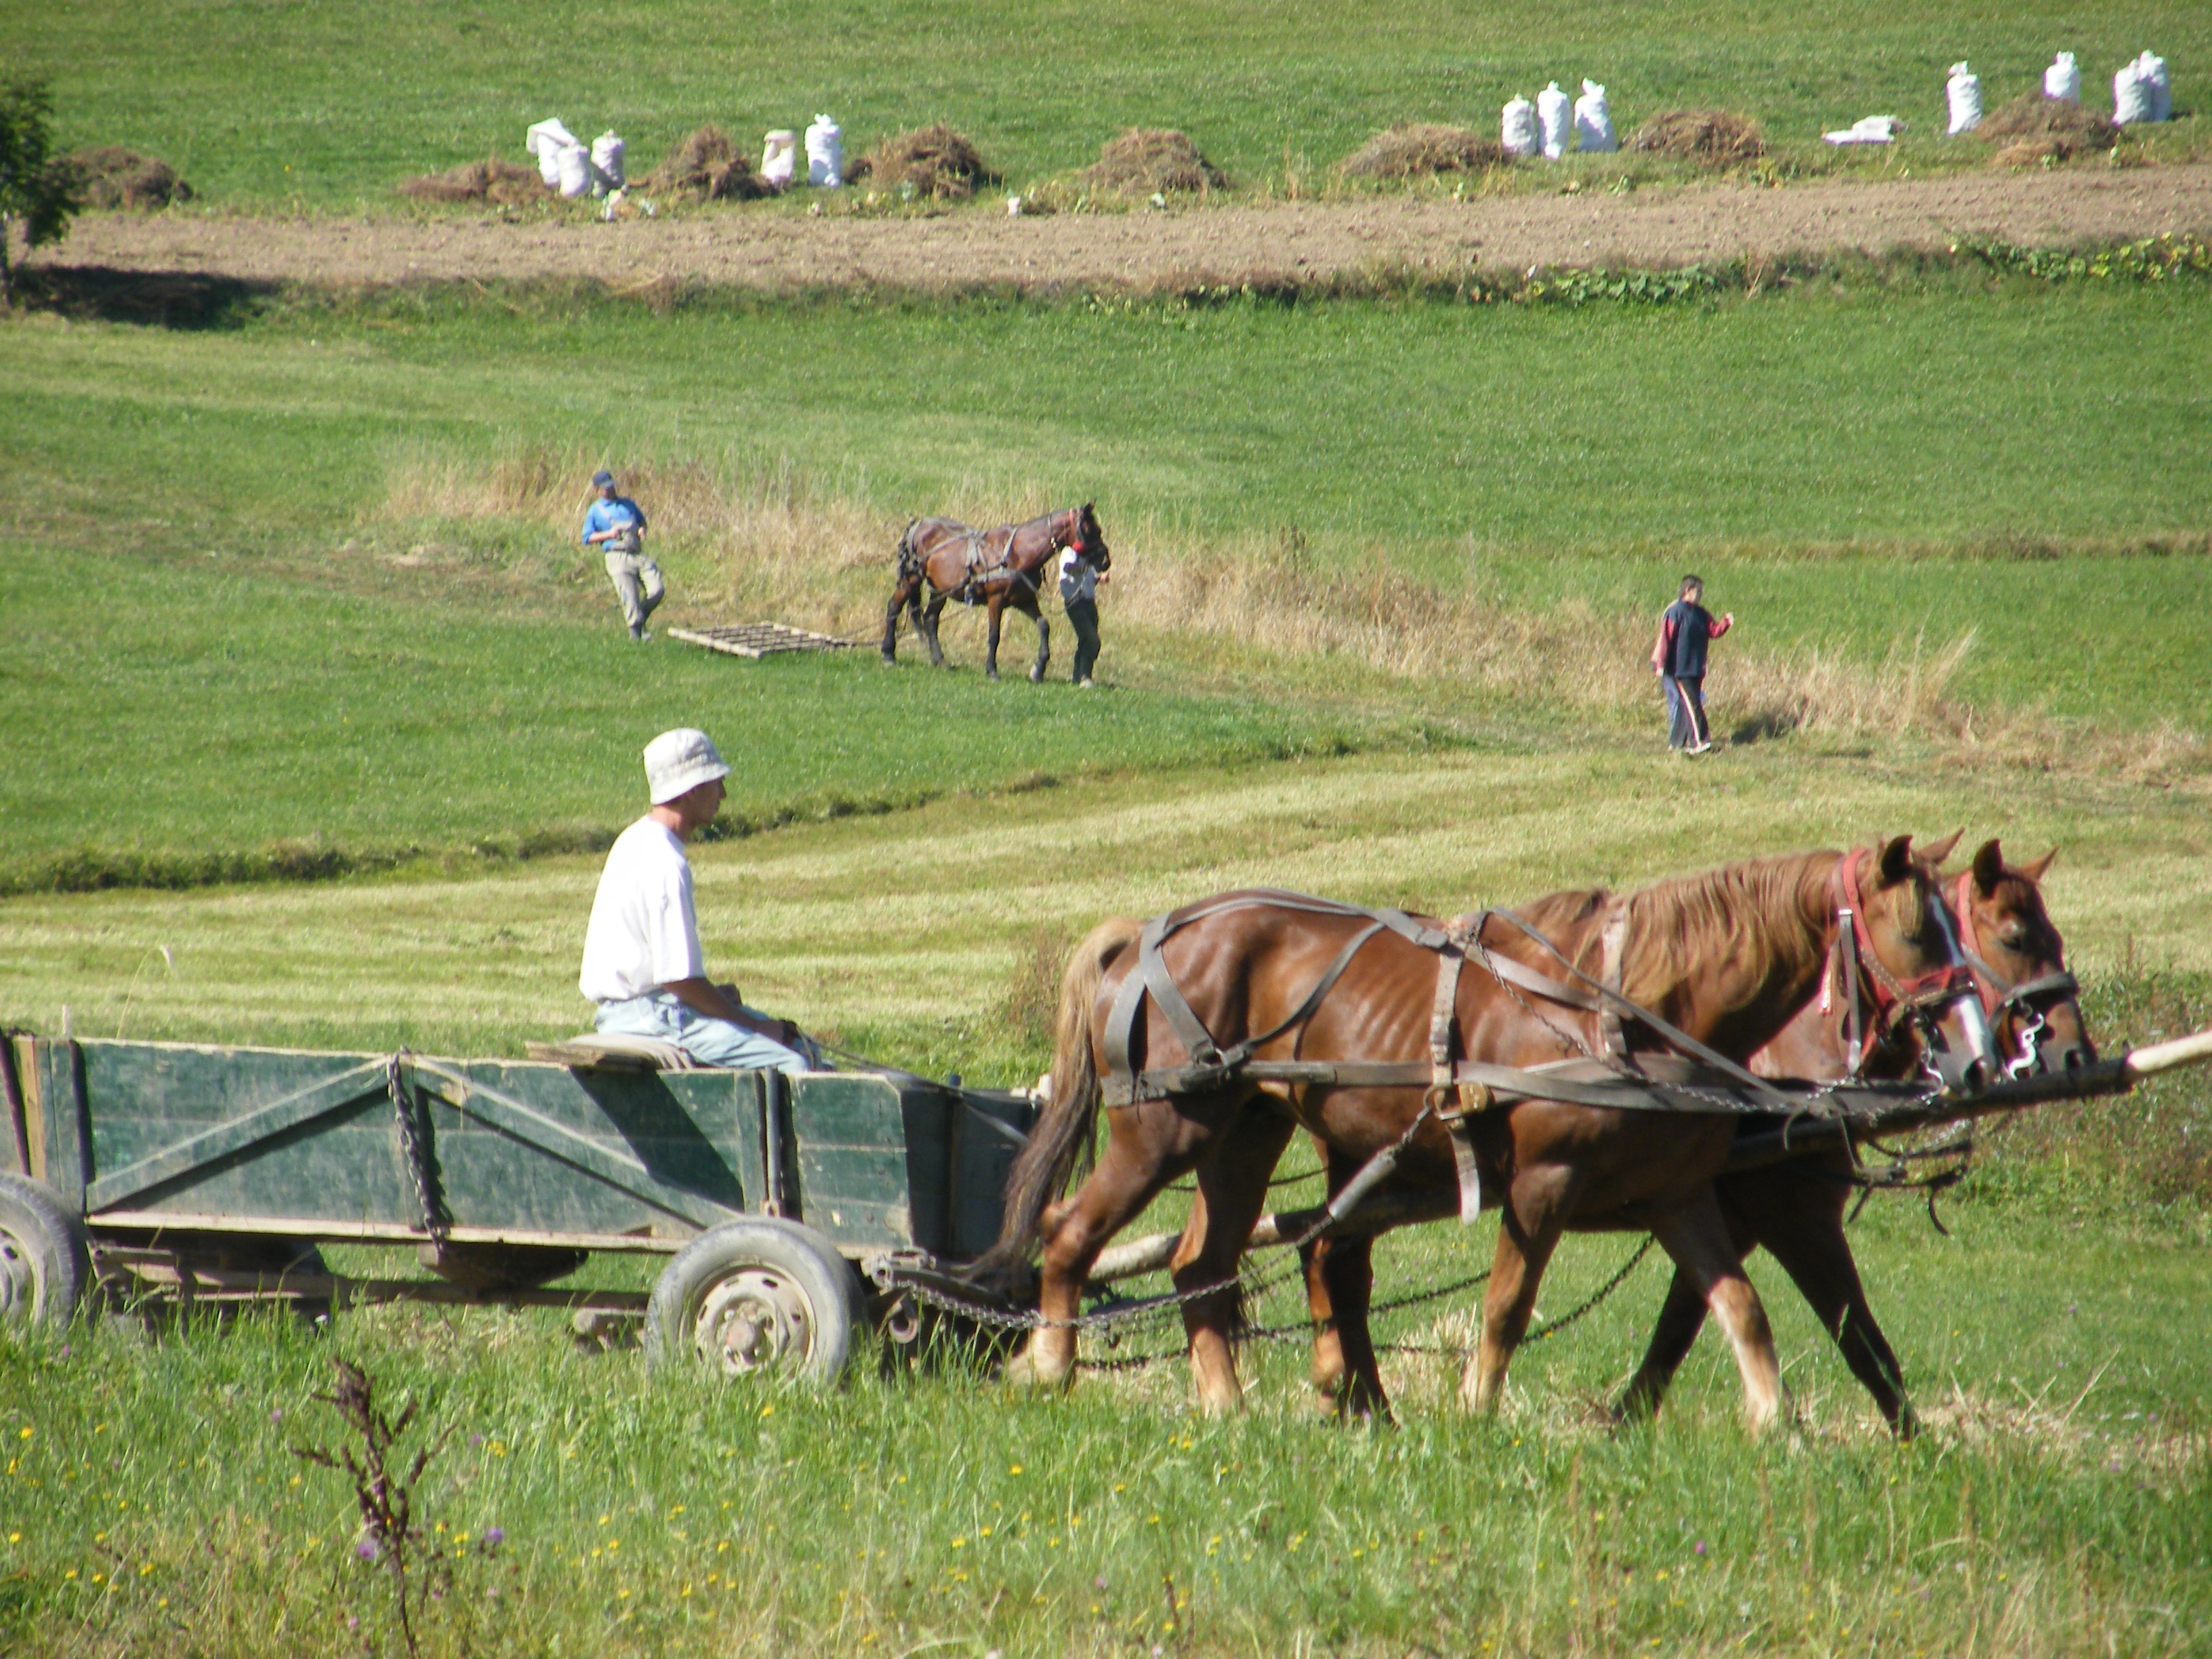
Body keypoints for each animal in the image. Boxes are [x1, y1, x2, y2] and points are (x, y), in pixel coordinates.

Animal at [872, 510, 1097, 685]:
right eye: (1091, 530)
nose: (1103, 559)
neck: (1016, 553)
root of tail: (917, 524)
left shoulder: (1024, 600)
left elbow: (1043, 626)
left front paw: (1039, 669)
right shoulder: (996, 600)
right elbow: (994, 635)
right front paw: (992, 671)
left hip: (940, 589)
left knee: (930, 619)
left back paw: (940, 661)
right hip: (911, 579)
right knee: (894, 607)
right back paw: (889, 654)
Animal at [982, 836, 1990, 1433]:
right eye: (1916, 929)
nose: (1979, 1058)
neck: (1627, 1011)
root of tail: (1145, 932)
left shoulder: (1679, 1194)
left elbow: (1738, 1305)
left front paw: (1775, 1424)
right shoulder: (1544, 1183)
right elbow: (1508, 1304)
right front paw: (1474, 1411)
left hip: (1245, 1132)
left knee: (1204, 1264)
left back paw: (1227, 1405)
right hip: (1164, 1129)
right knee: (1070, 1232)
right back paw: (1049, 1365)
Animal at [1610, 836, 2088, 1433]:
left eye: (2057, 939)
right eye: (2014, 938)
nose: (2077, 1053)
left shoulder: (1730, 1220)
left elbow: (1679, 1327)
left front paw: (1622, 1421)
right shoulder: (1796, 1221)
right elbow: (1865, 1346)